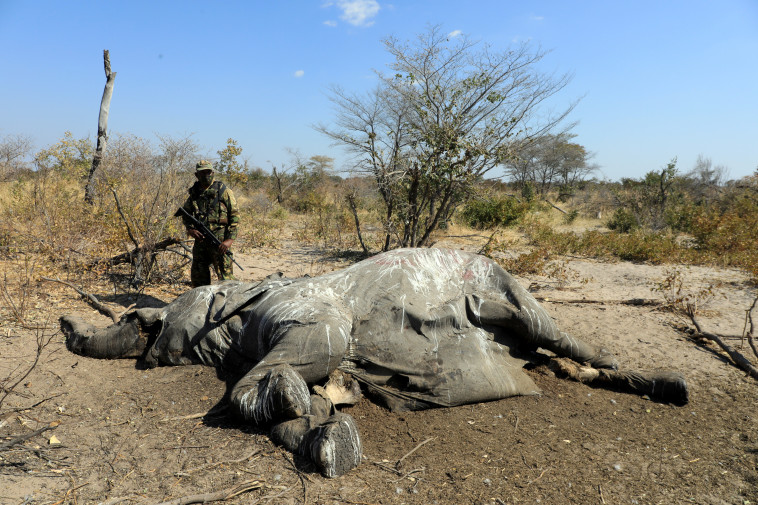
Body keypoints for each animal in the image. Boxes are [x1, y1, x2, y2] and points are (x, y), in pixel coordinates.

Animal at [60, 248, 688, 476]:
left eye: (141, 320)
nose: (67, 324)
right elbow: (318, 396)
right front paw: (322, 434)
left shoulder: (306, 310)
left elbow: (311, 355)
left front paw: (290, 401)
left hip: (507, 288)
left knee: (560, 336)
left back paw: (668, 386)